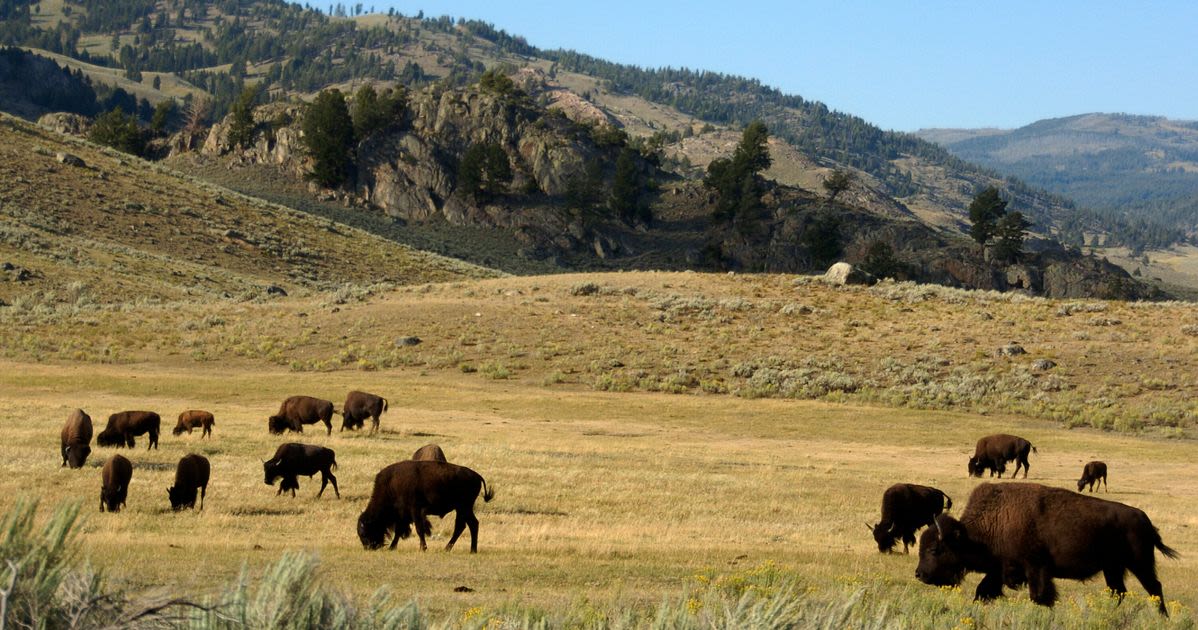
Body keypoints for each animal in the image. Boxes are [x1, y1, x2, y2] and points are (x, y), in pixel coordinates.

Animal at [357, 462, 493, 555]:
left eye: (364, 533)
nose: (368, 548)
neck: (391, 484)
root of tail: (477, 476)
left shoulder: (415, 511)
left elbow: (419, 529)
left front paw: (423, 548)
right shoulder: (403, 515)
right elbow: (399, 531)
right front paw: (392, 547)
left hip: (464, 507)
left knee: (468, 525)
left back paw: (466, 549)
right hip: (462, 509)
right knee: (466, 525)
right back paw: (457, 549)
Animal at [915, 483, 1178, 618]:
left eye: (935, 549)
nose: (919, 574)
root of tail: (1144, 519)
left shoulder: (1036, 568)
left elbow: (1040, 596)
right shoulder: (1000, 569)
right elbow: (983, 591)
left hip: (1139, 563)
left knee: (1154, 588)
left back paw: (1163, 617)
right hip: (1113, 568)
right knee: (1118, 592)